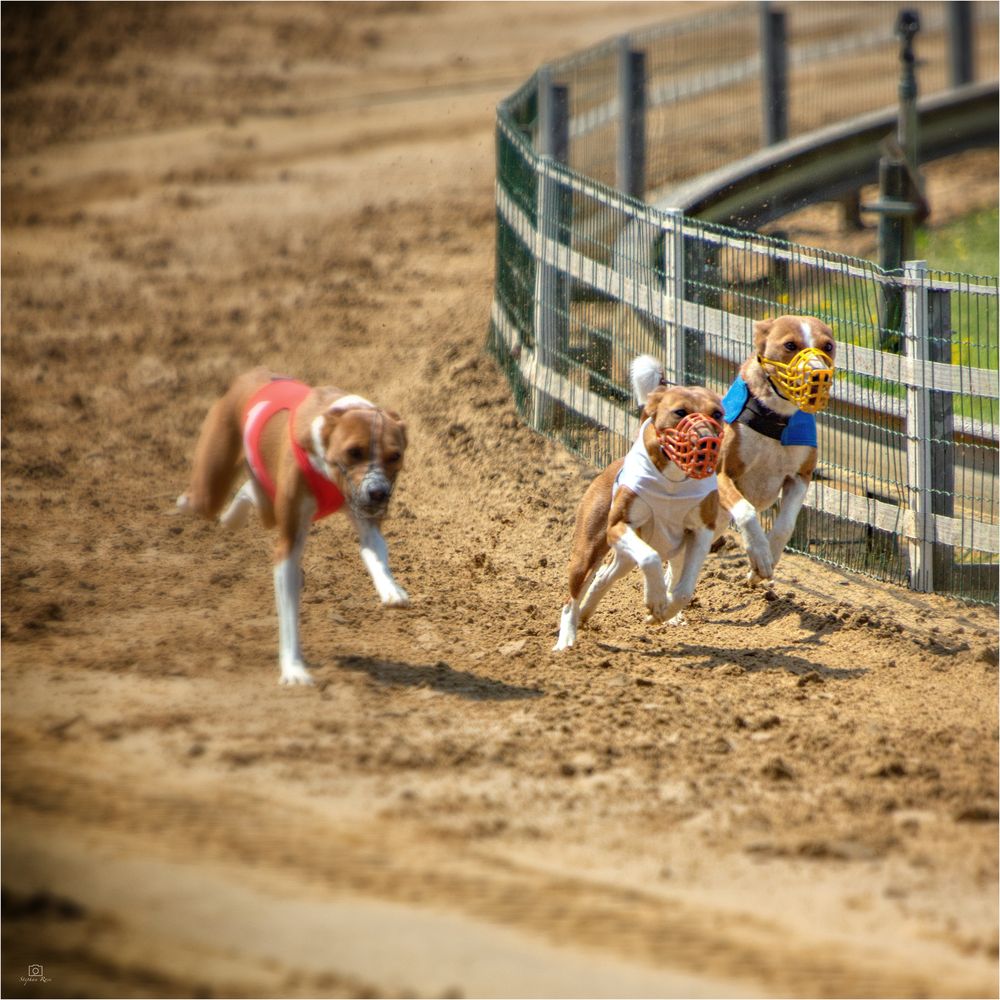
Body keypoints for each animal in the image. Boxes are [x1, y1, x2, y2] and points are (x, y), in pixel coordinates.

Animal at [178, 368, 408, 688]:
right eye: (354, 452)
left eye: (395, 456)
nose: (378, 493)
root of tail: (253, 374)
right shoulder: (288, 542)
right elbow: (288, 616)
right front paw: (294, 669)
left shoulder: (364, 518)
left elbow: (374, 554)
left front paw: (391, 589)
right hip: (209, 491)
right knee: (202, 500)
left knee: (252, 494)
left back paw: (234, 516)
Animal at [552, 364, 724, 652]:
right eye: (680, 412)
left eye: (718, 414)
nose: (707, 441)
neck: (672, 481)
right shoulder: (619, 527)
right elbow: (651, 558)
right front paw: (655, 600)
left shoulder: (702, 532)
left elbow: (683, 590)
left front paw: (662, 613)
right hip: (589, 550)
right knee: (571, 598)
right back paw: (566, 642)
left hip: (638, 555)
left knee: (604, 577)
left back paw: (587, 614)